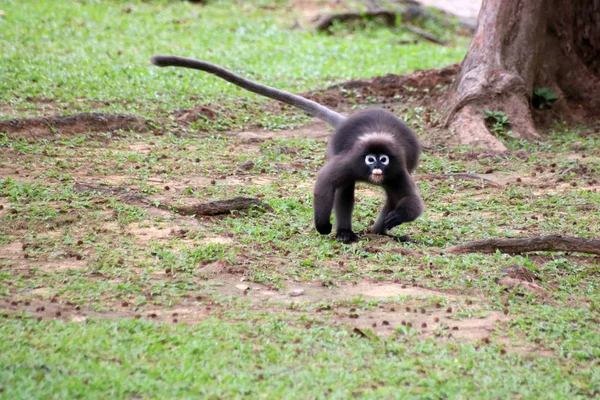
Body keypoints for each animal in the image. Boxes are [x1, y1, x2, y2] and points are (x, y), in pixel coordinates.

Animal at [150, 54, 422, 242]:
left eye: (383, 159)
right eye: (370, 159)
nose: (376, 167)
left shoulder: (398, 170)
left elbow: (413, 203)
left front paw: (396, 219)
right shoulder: (351, 160)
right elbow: (325, 182)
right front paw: (323, 226)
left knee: (390, 196)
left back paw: (382, 233)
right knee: (345, 188)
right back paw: (345, 232)